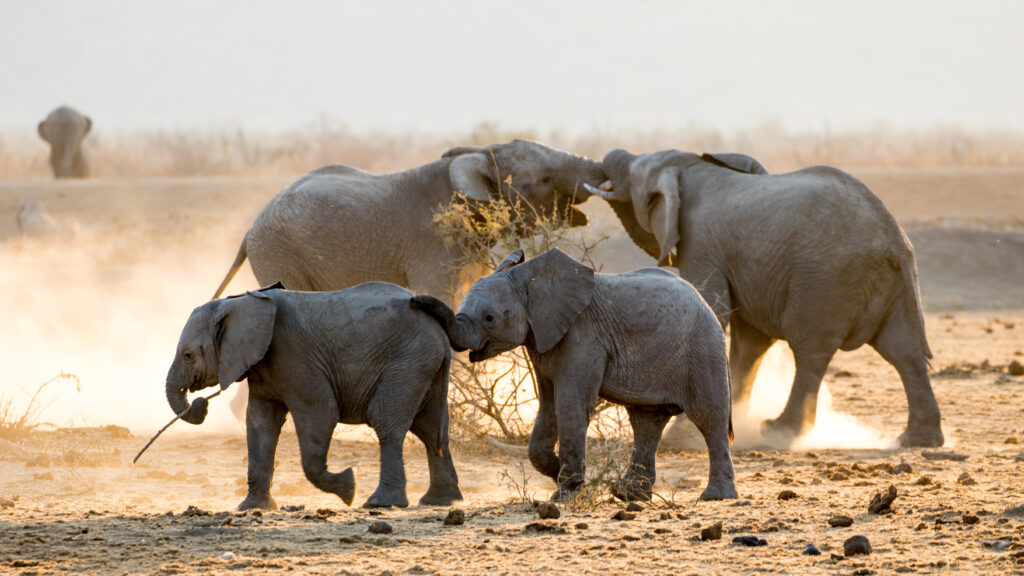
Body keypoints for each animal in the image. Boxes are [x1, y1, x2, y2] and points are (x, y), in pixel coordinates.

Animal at [165, 278, 462, 506]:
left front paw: (348, 487)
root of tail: (440, 331)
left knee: (386, 421)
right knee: (430, 429)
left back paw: (381, 503)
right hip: (423, 365)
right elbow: (260, 423)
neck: (239, 302)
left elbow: (320, 413)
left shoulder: (295, 357)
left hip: (407, 362)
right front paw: (252, 507)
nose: (200, 404)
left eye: (188, 355)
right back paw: (440, 501)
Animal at [411, 249, 741, 500]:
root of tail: (706, 305)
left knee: (709, 418)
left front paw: (565, 492)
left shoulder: (583, 337)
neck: (532, 280)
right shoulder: (543, 339)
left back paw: (715, 496)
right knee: (646, 422)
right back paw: (628, 495)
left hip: (703, 350)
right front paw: (562, 476)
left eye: (490, 318)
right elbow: (549, 405)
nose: (414, 301)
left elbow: (571, 404)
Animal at [585, 147, 942, 444]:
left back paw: (778, 432)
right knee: (905, 351)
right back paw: (917, 440)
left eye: (631, 177)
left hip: (827, 280)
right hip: (890, 284)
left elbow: (716, 311)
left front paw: (684, 438)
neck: (687, 163)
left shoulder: (702, 245)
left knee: (811, 349)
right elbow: (750, 342)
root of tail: (894, 240)